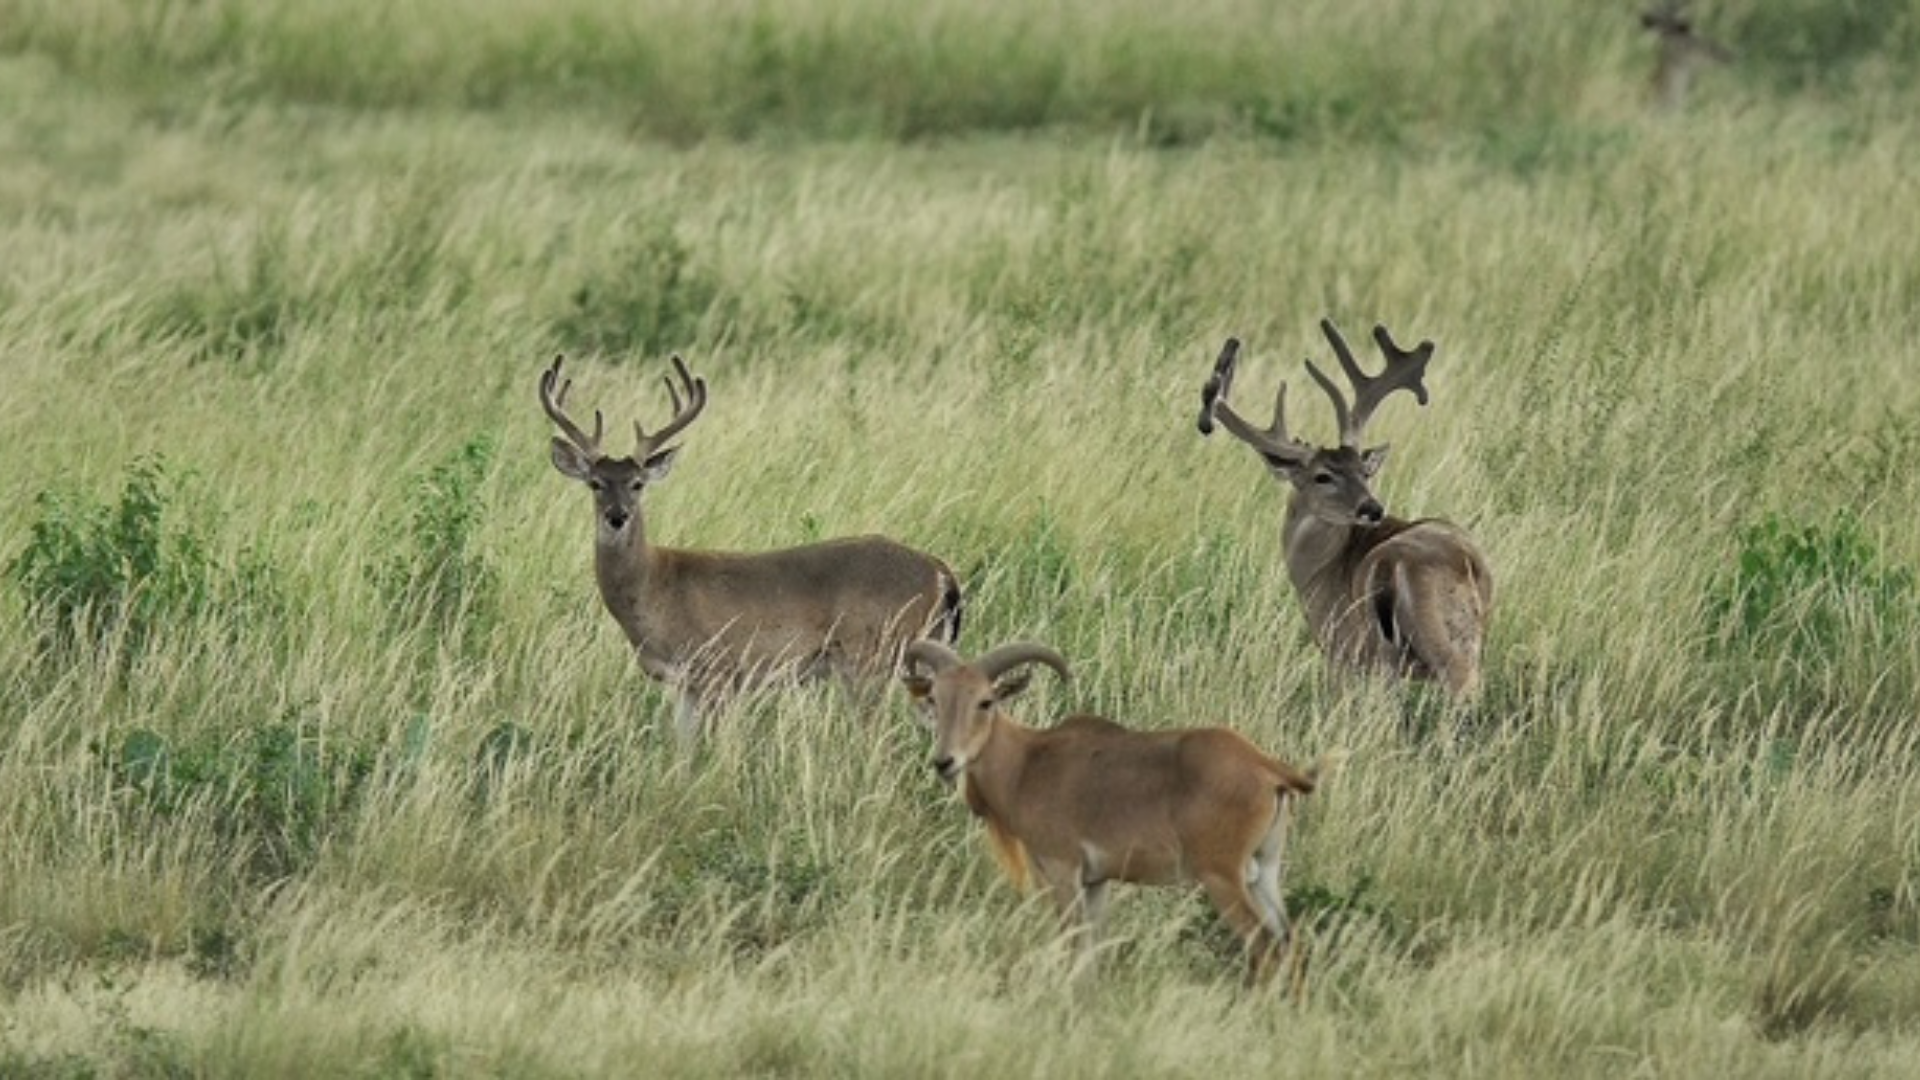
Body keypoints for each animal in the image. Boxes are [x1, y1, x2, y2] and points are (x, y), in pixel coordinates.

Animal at [540, 353, 964, 748]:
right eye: (595, 483)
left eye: (637, 483)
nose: (617, 516)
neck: (653, 588)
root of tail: (940, 571)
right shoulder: (684, 684)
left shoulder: (719, 667)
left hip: (870, 656)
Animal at [901, 638, 1323, 987]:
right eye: (935, 699)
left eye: (985, 701)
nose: (944, 762)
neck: (1027, 763)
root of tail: (1268, 768)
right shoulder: (1096, 882)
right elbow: (1091, 951)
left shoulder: (1062, 868)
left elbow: (1072, 944)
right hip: (1264, 872)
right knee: (1292, 946)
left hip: (1223, 876)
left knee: (1266, 947)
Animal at [1197, 319, 1493, 699]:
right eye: (1323, 476)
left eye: (1364, 472)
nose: (1373, 508)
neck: (1320, 569)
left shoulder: (1339, 646)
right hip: (1463, 638)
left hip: (1395, 651)